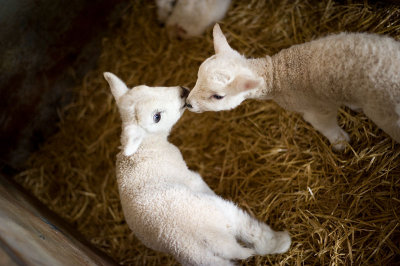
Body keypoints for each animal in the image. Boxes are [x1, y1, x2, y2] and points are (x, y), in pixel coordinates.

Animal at [103, 71, 290, 266]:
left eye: (147, 86)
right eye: (157, 117)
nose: (183, 92)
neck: (146, 148)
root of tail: (202, 239)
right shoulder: (192, 178)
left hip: (201, 260)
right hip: (220, 211)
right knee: (251, 231)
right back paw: (280, 241)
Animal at [186, 24, 400, 151]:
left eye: (218, 96)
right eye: (197, 76)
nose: (188, 103)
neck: (277, 75)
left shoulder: (316, 108)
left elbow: (325, 125)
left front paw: (340, 143)